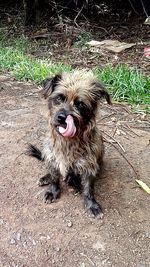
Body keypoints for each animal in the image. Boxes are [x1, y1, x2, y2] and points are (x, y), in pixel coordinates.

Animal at [26, 70, 111, 219]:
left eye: (80, 104)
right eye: (59, 98)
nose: (62, 118)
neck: (68, 141)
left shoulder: (89, 166)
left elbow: (88, 189)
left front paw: (92, 205)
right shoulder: (53, 158)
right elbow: (55, 179)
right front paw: (52, 191)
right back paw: (46, 177)